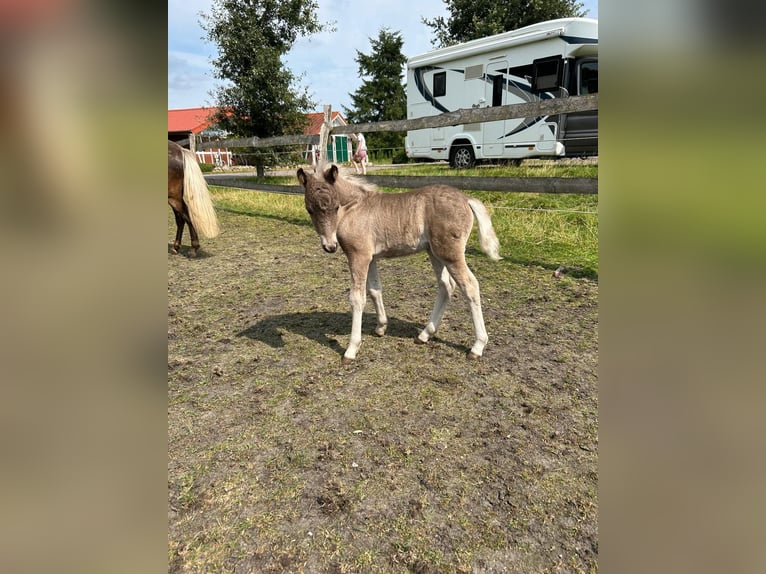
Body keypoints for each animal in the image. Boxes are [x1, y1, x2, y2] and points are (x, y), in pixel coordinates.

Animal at [296, 163, 500, 364]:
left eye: (336, 206)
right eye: (309, 209)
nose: (330, 246)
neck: (355, 207)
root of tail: (466, 198)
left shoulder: (358, 256)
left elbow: (357, 298)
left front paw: (351, 349)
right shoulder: (371, 258)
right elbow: (374, 290)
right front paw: (381, 328)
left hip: (450, 254)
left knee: (470, 286)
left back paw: (477, 347)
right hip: (434, 253)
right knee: (446, 286)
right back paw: (424, 335)